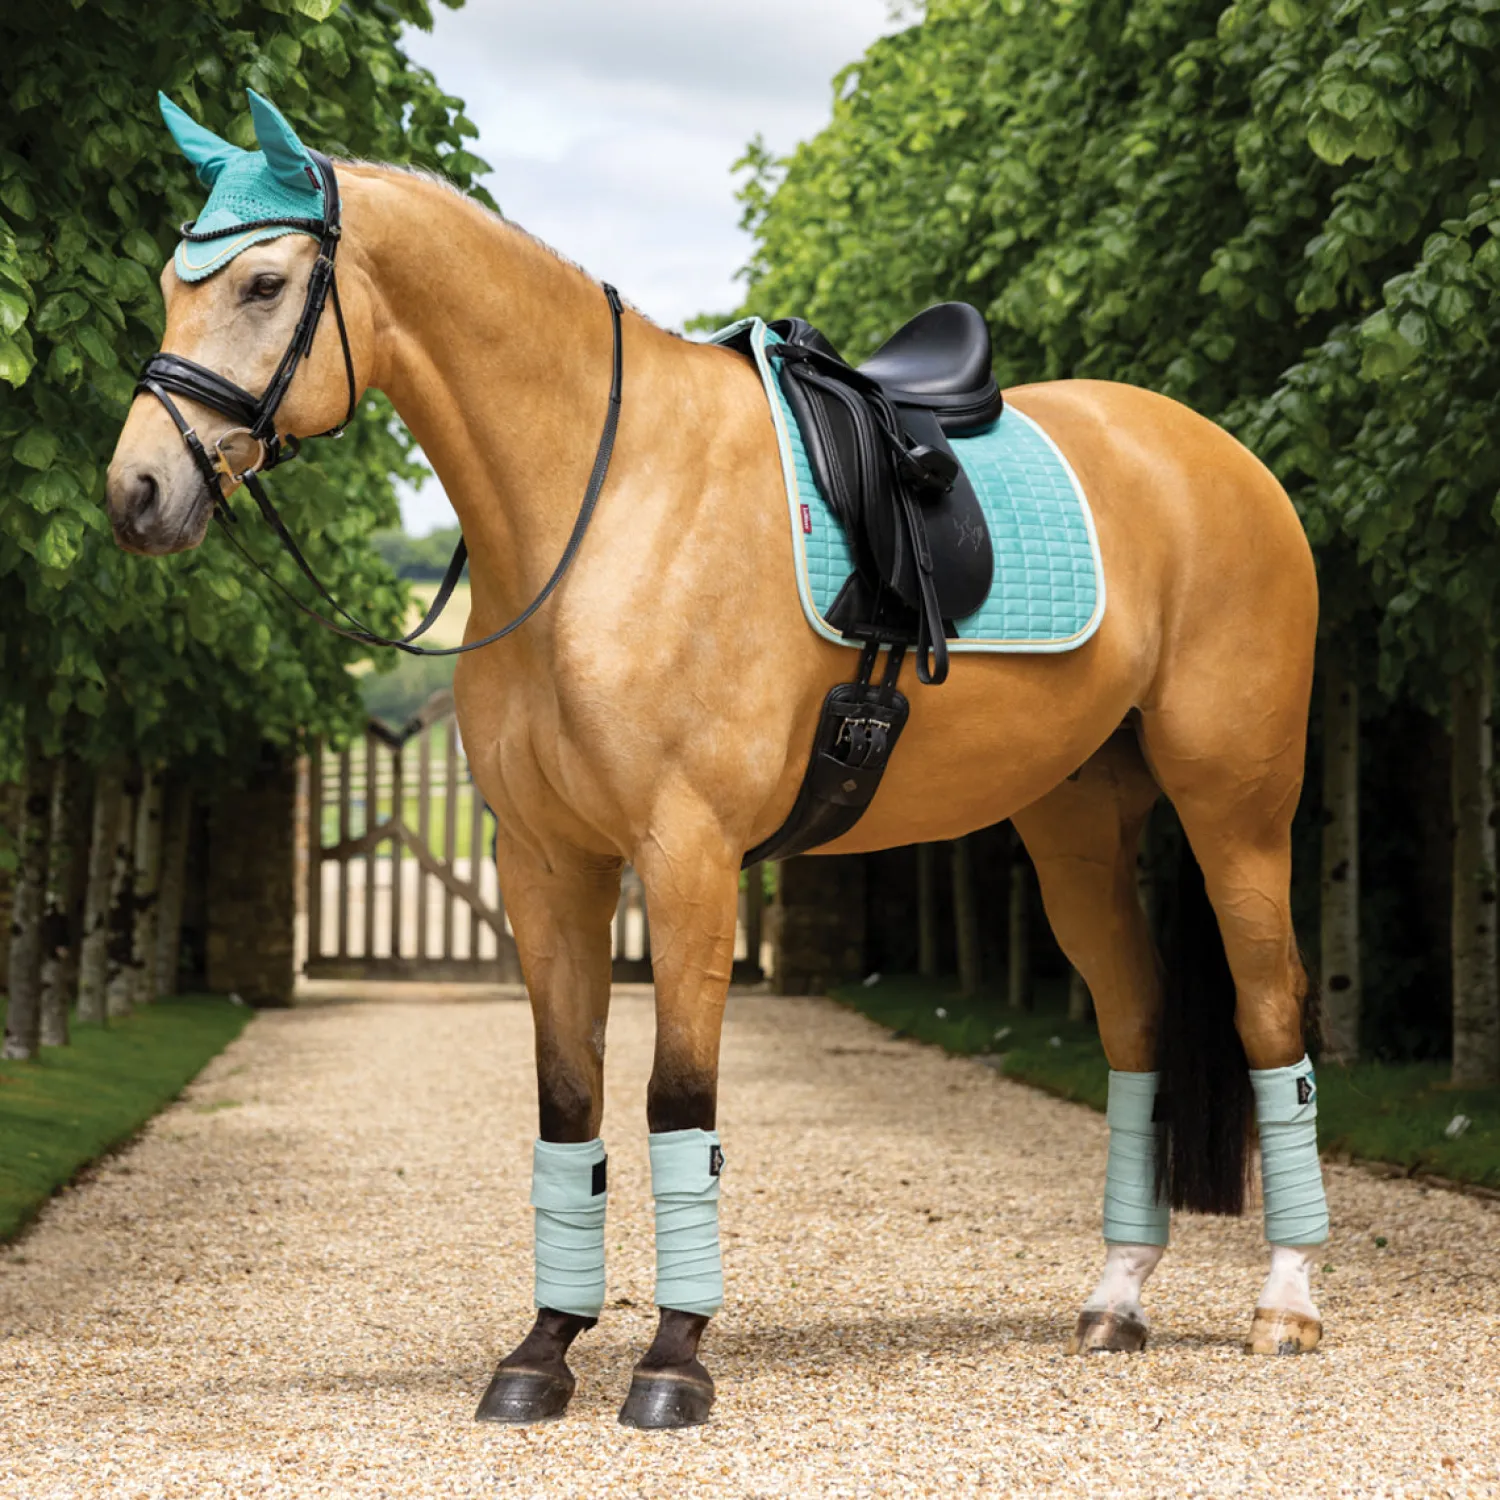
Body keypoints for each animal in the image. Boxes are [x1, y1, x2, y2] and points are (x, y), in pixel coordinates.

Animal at [105, 95, 1328, 1430]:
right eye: (169, 283)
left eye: (265, 282)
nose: (136, 491)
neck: (601, 505)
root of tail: (1224, 457)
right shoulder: (547, 866)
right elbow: (569, 1102)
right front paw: (542, 1353)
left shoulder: (687, 857)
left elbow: (676, 1105)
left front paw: (672, 1360)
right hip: (1076, 828)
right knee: (1136, 1022)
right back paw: (1116, 1301)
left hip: (1238, 811)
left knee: (1272, 1014)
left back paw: (1286, 1305)